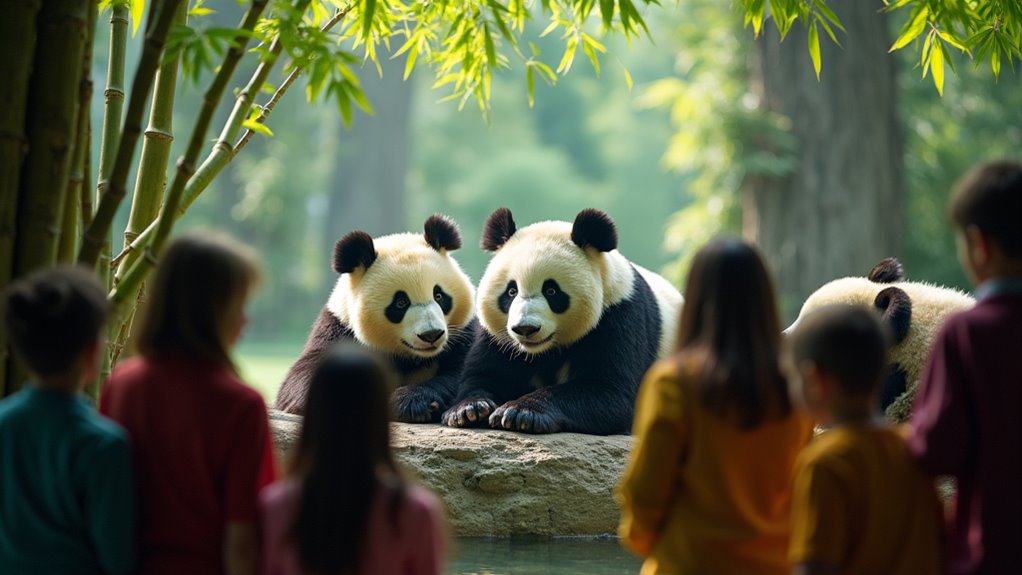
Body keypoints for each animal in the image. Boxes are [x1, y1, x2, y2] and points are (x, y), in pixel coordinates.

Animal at [275, 214, 478, 423]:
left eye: (439, 296)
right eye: (400, 302)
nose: (431, 334)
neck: (410, 357)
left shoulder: (465, 331)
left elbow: (461, 372)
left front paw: (411, 402)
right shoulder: (338, 329)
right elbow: (302, 378)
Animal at [441, 207, 683, 435]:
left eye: (551, 291)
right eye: (511, 291)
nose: (525, 329)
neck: (544, 351)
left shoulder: (619, 315)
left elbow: (610, 391)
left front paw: (520, 412)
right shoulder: (499, 338)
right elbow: (487, 375)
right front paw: (469, 410)